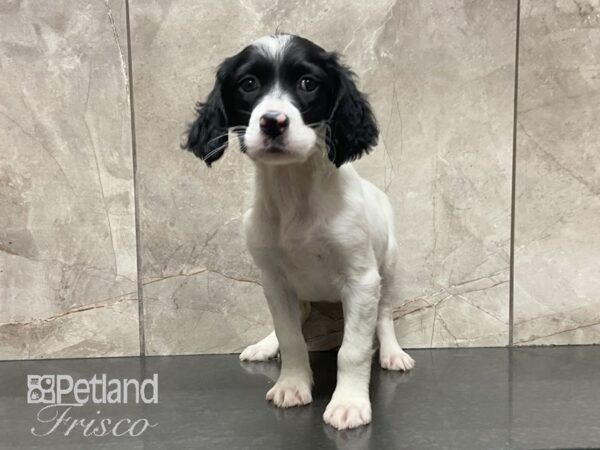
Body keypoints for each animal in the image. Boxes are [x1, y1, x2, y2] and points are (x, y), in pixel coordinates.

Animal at [183, 34, 412, 428]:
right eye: (248, 84)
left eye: (308, 83)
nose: (273, 122)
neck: (294, 195)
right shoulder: (274, 280)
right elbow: (291, 338)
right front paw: (292, 385)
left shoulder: (361, 278)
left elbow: (352, 350)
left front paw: (349, 403)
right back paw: (265, 344)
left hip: (388, 266)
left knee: (383, 314)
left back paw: (393, 353)